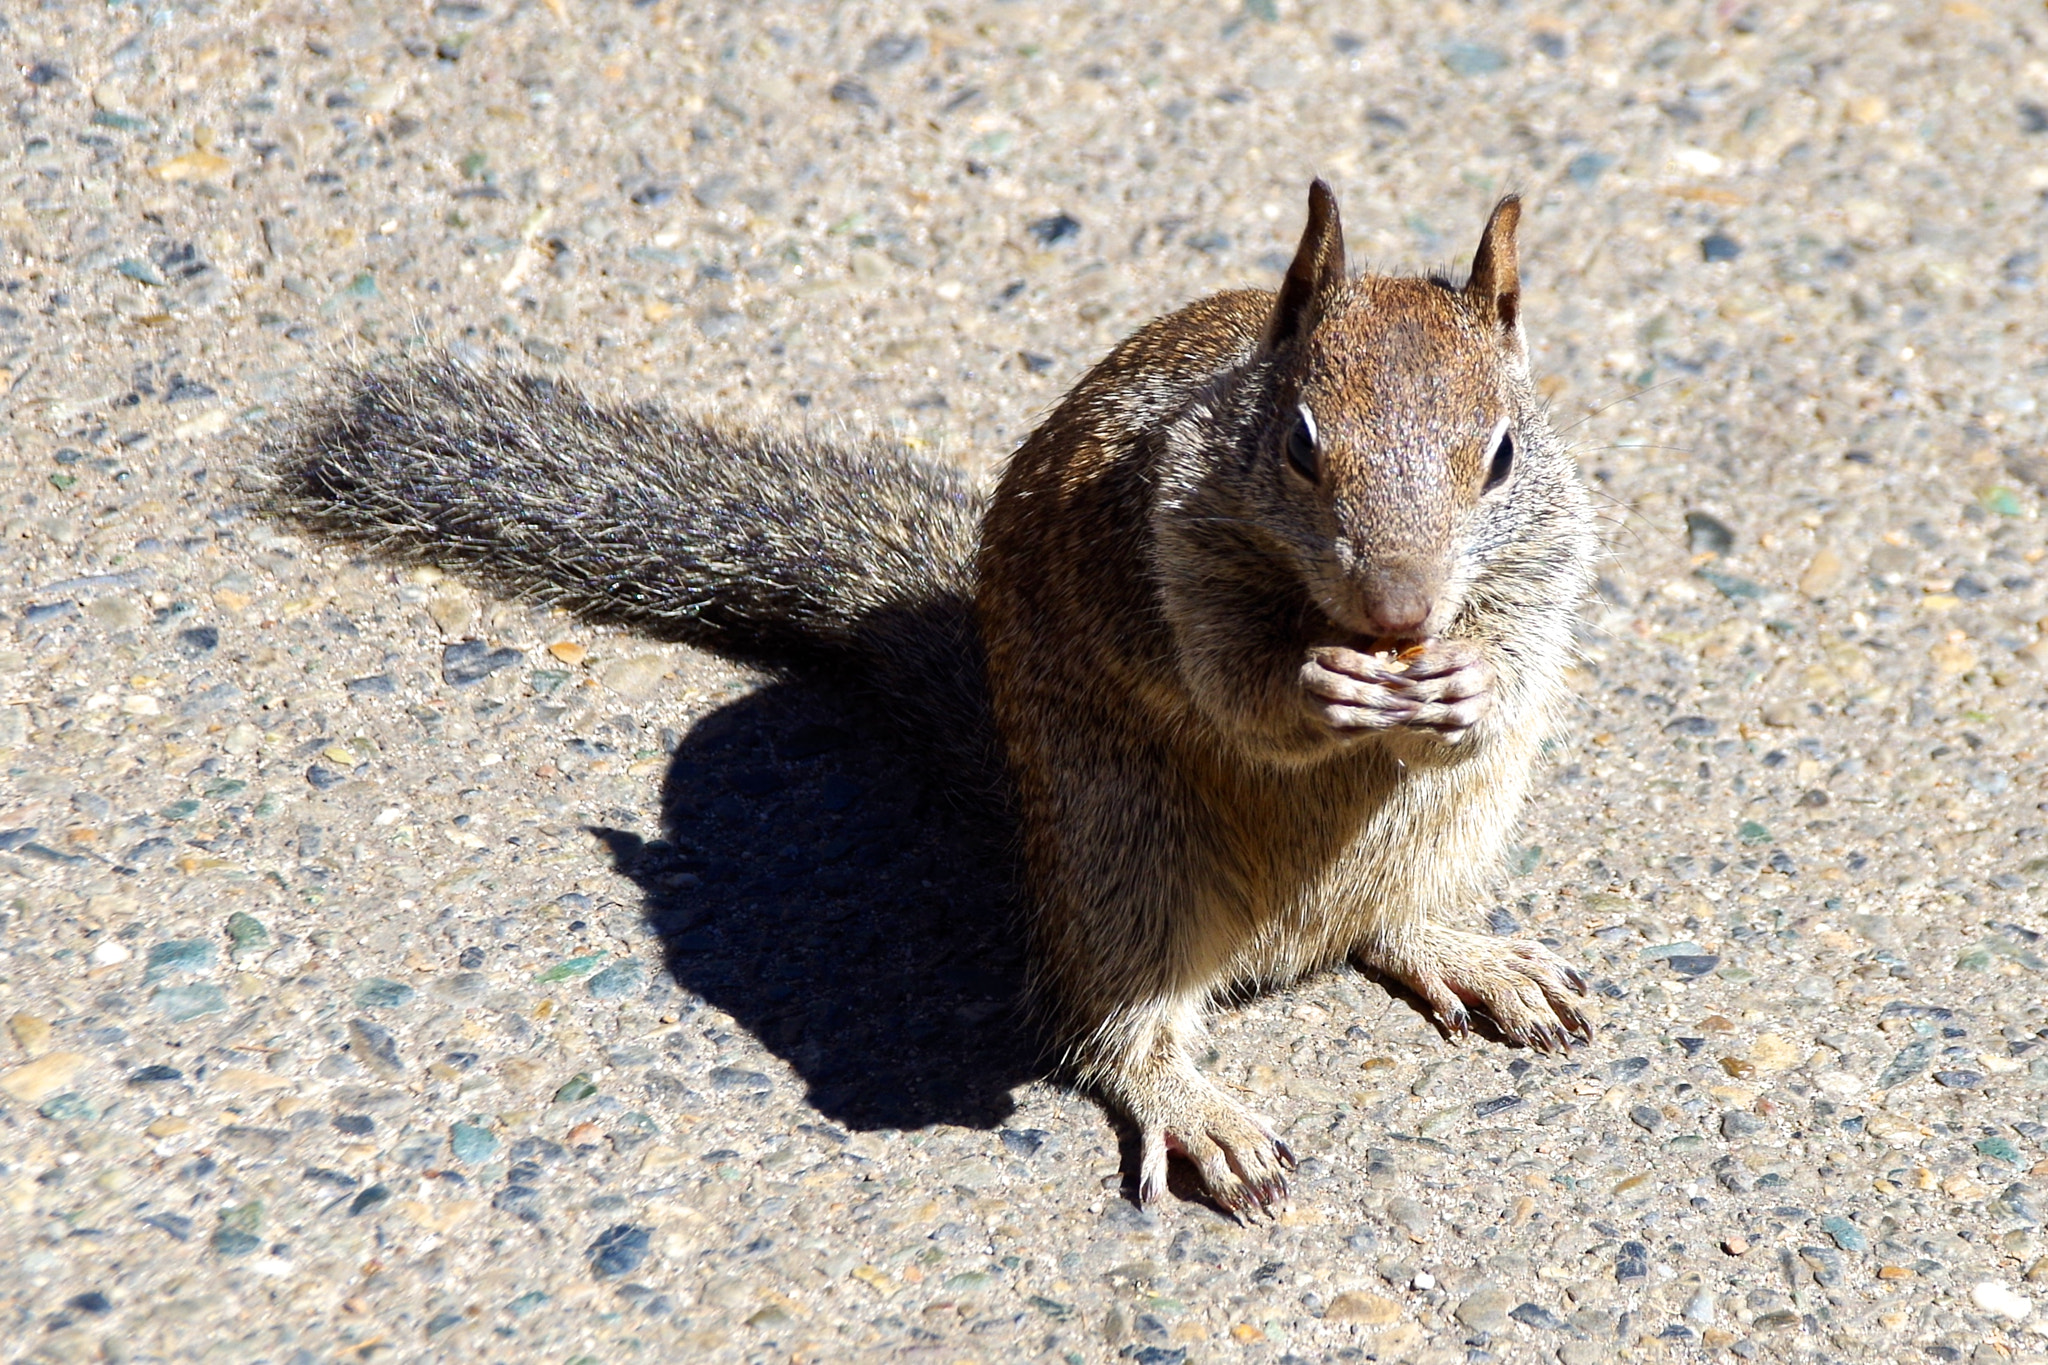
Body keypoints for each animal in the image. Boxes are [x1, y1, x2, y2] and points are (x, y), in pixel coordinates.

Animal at [260, 179, 1597, 1219]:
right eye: (1300, 447)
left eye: (1502, 456)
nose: (1401, 611)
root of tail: (1281, 942)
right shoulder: (1166, 549)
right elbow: (1230, 679)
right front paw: (1315, 685)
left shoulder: (1544, 561)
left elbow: (1518, 641)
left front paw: (1463, 675)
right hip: (1121, 857)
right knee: (1114, 1023)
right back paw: (1197, 1110)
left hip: (1449, 821)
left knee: (1384, 921)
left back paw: (1466, 954)